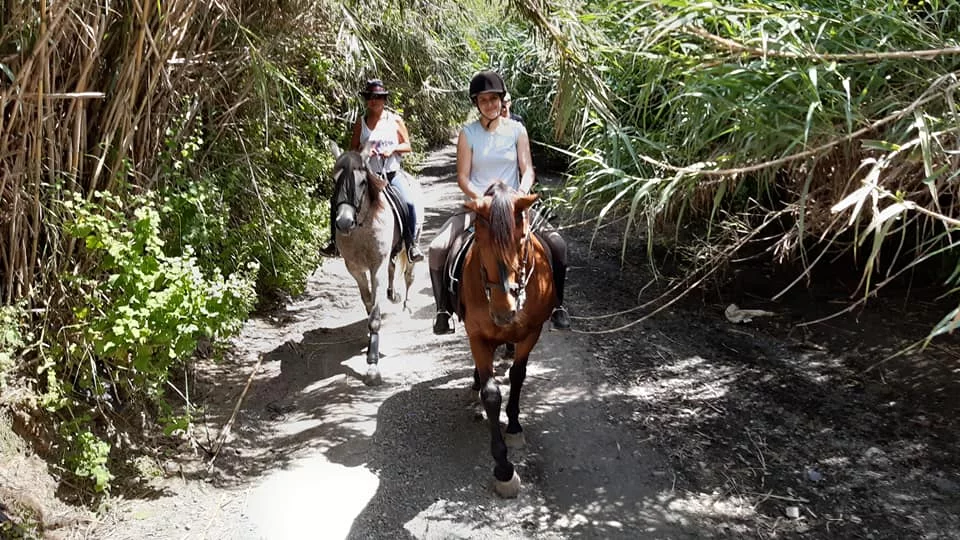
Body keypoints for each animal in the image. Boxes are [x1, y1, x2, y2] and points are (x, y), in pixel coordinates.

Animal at [330, 143, 420, 386]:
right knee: (392, 269)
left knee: (408, 275)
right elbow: (368, 302)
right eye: (335, 180)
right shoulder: (355, 269)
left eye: (362, 182)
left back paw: (406, 304)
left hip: (412, 243)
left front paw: (372, 365)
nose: (343, 222)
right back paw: (393, 294)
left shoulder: (375, 266)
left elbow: (375, 314)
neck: (361, 228)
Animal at [462, 182, 560, 498]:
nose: (504, 311)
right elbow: (491, 394)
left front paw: (515, 426)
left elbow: (518, 376)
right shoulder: (477, 336)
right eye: (479, 240)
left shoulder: (532, 331)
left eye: (522, 239)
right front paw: (504, 468)